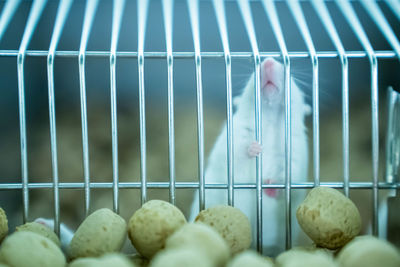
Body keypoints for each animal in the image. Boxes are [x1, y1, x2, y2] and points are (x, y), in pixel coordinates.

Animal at [189, 57, 310, 256]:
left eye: (289, 73)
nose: (268, 61)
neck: (269, 120)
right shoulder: (233, 137)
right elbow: (236, 156)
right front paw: (254, 148)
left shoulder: (296, 153)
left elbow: (290, 176)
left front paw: (271, 186)